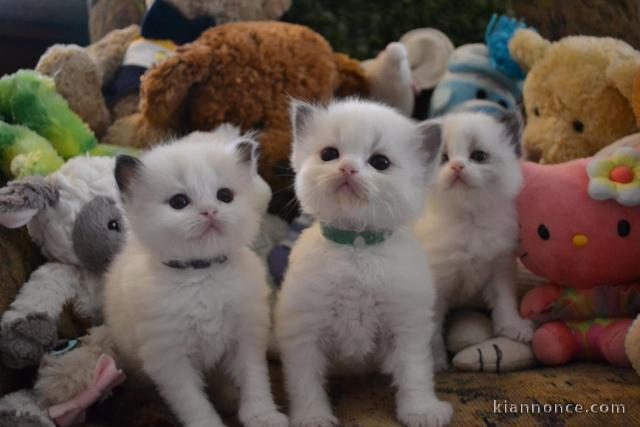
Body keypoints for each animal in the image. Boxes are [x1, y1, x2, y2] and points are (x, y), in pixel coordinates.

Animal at [104, 131, 286, 427]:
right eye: (179, 202)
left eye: (224, 196)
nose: (210, 211)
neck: (202, 275)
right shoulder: (169, 358)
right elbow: (194, 404)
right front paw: (212, 422)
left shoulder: (247, 337)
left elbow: (255, 381)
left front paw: (263, 416)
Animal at [278, 98, 452, 427]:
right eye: (329, 154)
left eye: (380, 162)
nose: (347, 168)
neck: (356, 247)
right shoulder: (304, 330)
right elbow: (305, 382)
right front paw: (313, 417)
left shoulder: (406, 324)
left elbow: (415, 373)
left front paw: (421, 410)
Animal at [412, 111, 532, 372]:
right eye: (443, 158)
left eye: (478, 156)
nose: (457, 166)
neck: (469, 221)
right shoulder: (436, 284)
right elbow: (432, 329)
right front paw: (436, 361)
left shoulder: (500, 268)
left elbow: (505, 301)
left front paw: (514, 327)